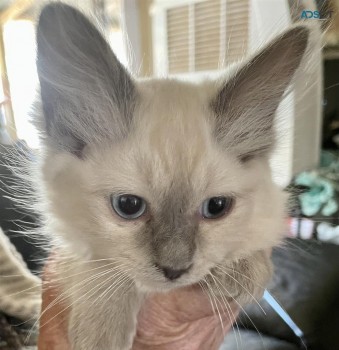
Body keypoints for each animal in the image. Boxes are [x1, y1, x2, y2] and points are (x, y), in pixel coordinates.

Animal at [34, 3, 310, 350]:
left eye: (216, 207)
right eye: (128, 206)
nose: (174, 270)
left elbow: (253, 246)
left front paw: (243, 271)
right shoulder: (67, 241)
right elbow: (99, 266)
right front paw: (99, 336)